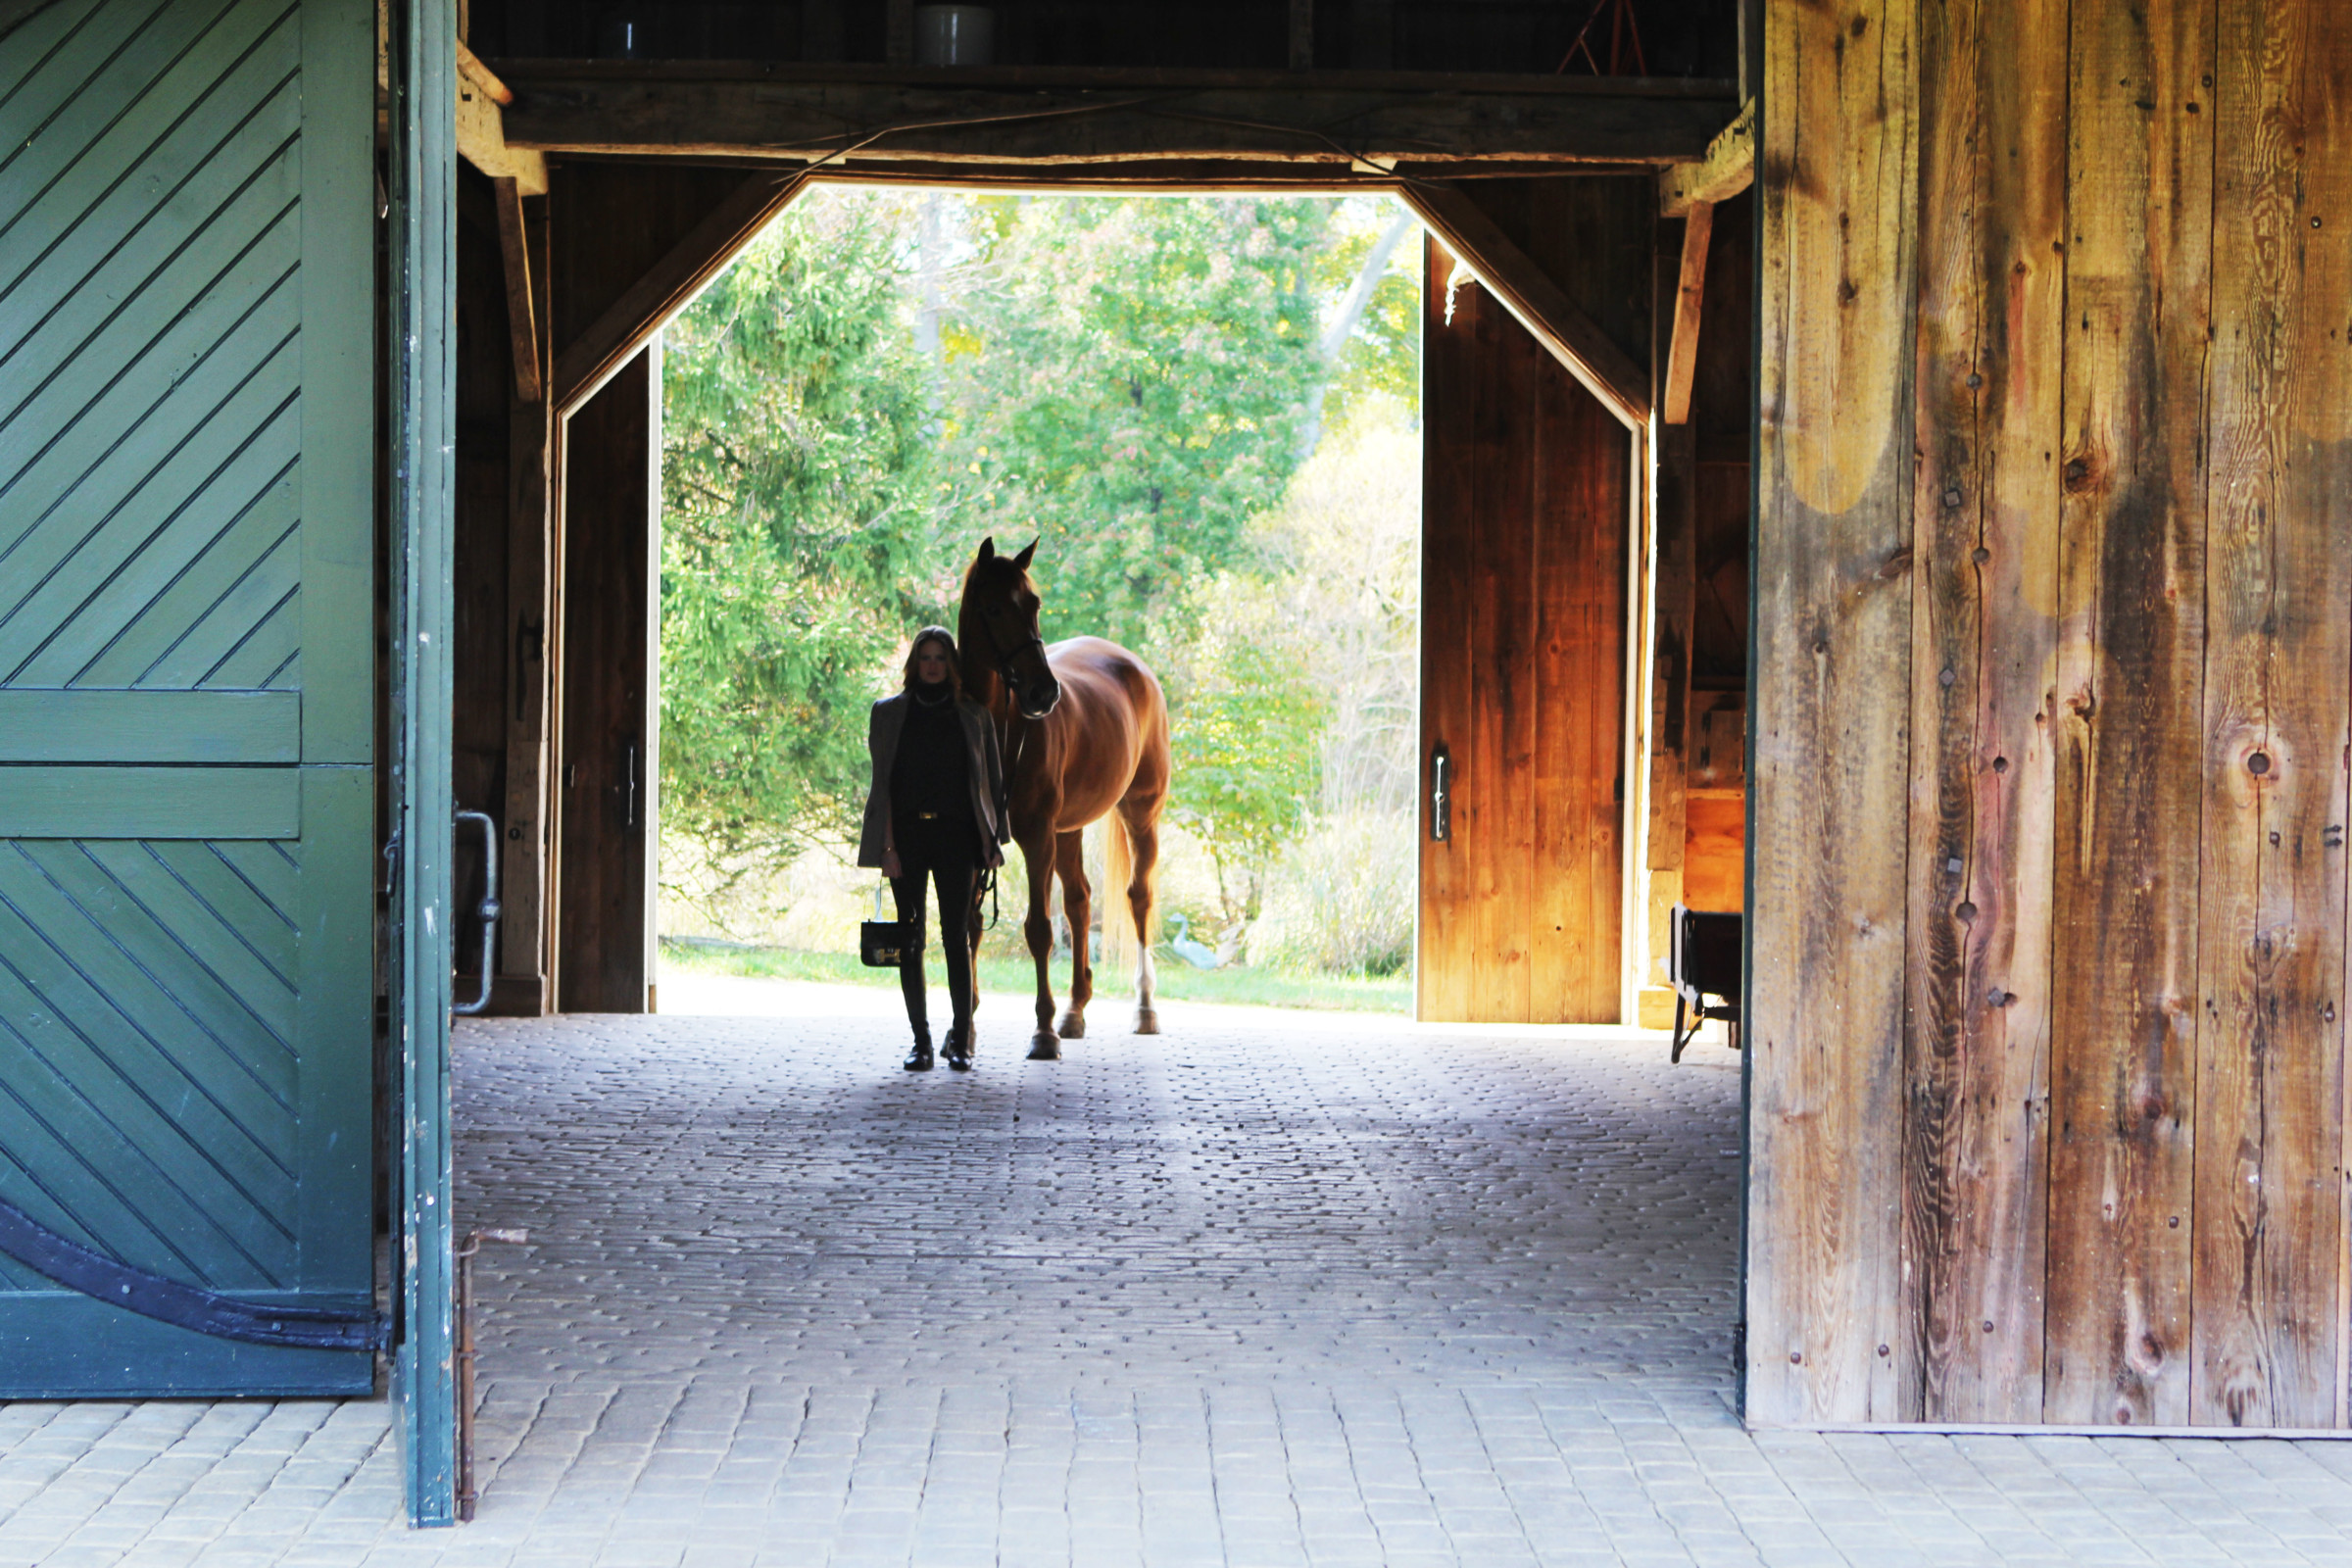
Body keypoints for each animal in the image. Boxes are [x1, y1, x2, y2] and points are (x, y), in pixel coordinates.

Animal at [959, 533, 1171, 1062]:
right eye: (993, 607)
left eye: (1033, 603)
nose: (1043, 692)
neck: (998, 730)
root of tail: (1136, 667)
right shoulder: (973, 839)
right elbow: (968, 925)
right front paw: (963, 1027)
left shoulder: (1037, 836)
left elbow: (1038, 929)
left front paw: (1042, 1031)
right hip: (1069, 829)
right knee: (1079, 902)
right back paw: (1075, 1010)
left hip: (1140, 814)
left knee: (1138, 897)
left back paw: (1143, 1008)